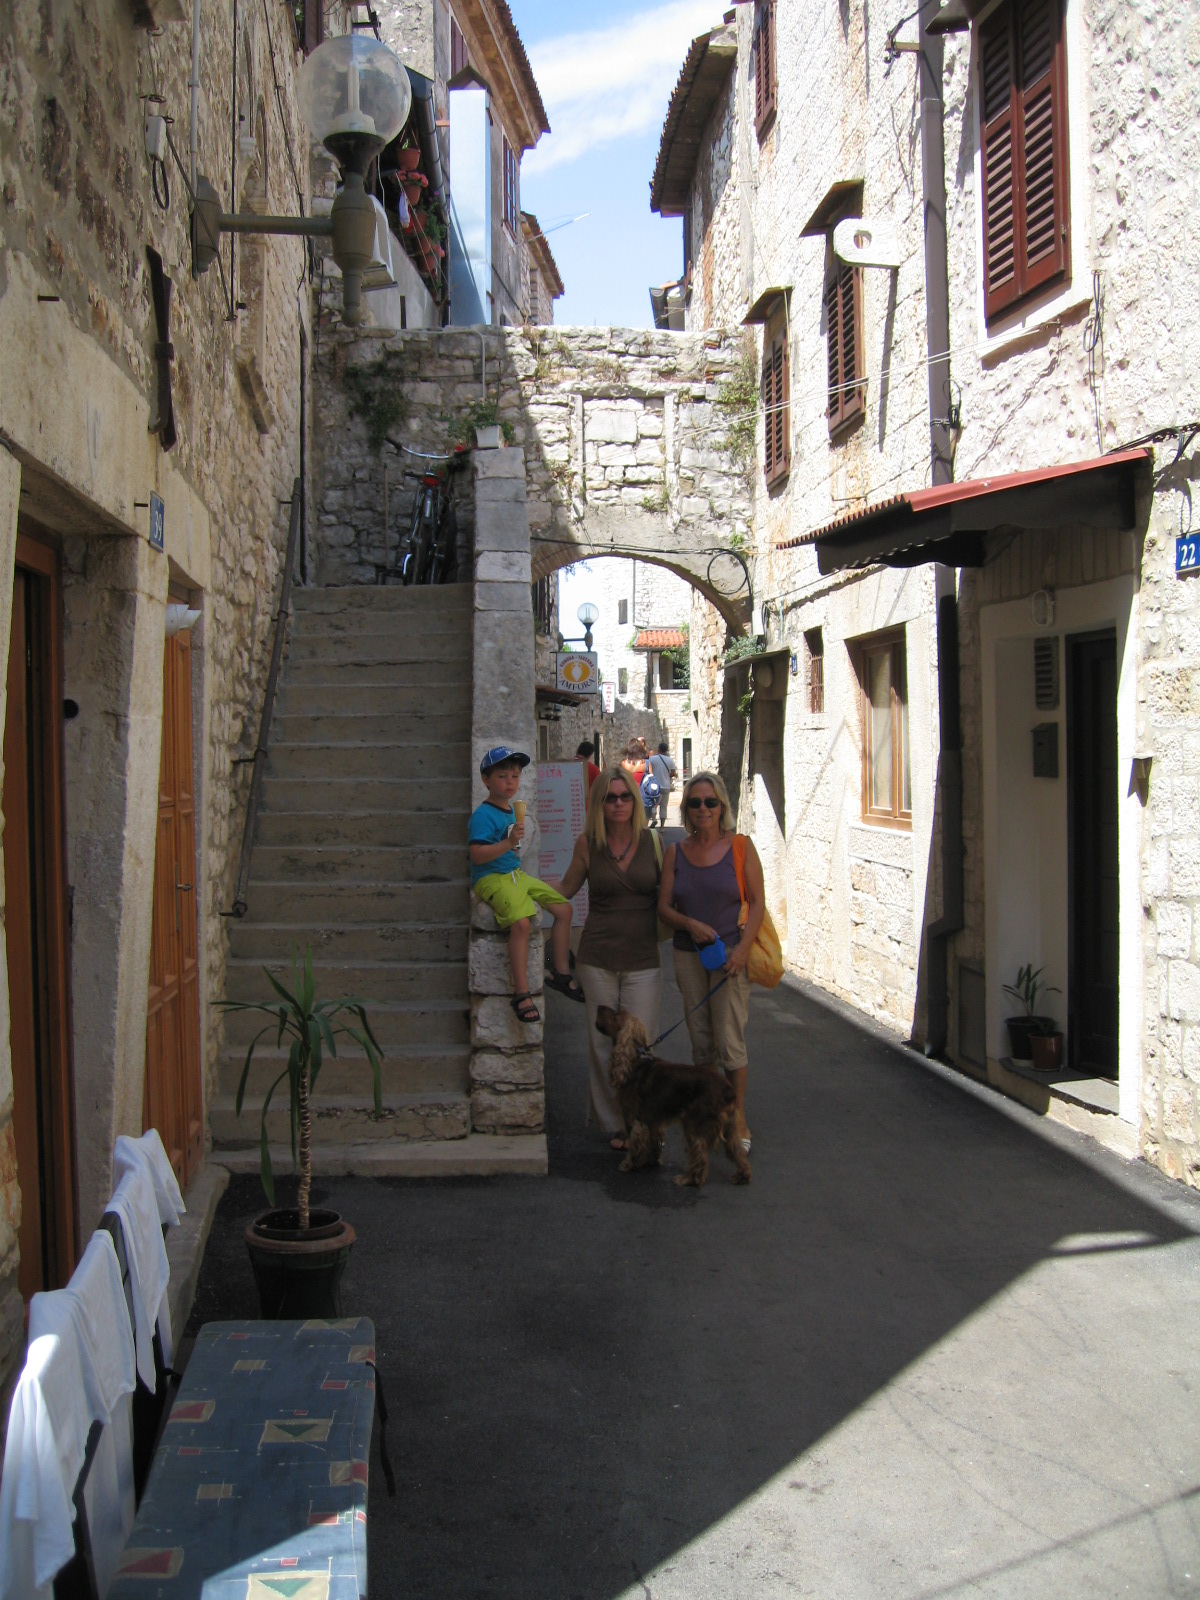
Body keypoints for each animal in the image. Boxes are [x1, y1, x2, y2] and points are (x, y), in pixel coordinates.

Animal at [595, 1006, 751, 1187]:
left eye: (615, 1016)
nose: (599, 1007)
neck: (635, 1059)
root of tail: (729, 1091)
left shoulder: (634, 1118)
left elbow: (635, 1145)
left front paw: (628, 1164)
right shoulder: (652, 1119)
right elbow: (654, 1141)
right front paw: (651, 1160)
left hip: (694, 1124)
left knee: (700, 1156)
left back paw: (687, 1179)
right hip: (730, 1128)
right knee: (738, 1153)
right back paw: (742, 1176)